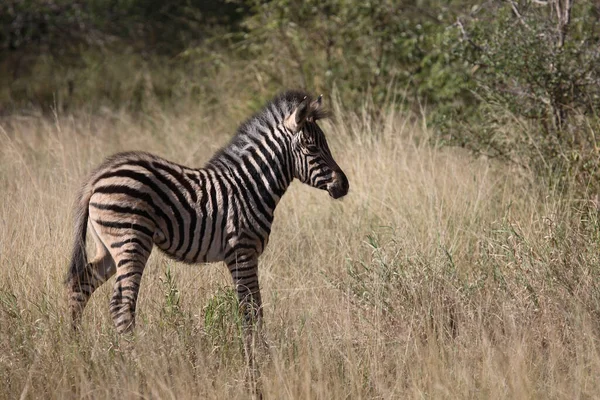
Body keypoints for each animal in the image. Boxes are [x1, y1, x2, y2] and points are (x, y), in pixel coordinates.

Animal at [66, 91, 350, 340]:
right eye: (312, 148)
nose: (344, 185)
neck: (250, 185)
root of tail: (99, 176)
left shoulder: (241, 255)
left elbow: (252, 308)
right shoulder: (242, 251)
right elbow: (251, 310)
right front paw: (256, 357)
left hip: (109, 246)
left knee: (81, 285)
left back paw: (77, 346)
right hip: (131, 240)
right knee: (121, 303)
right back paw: (134, 355)